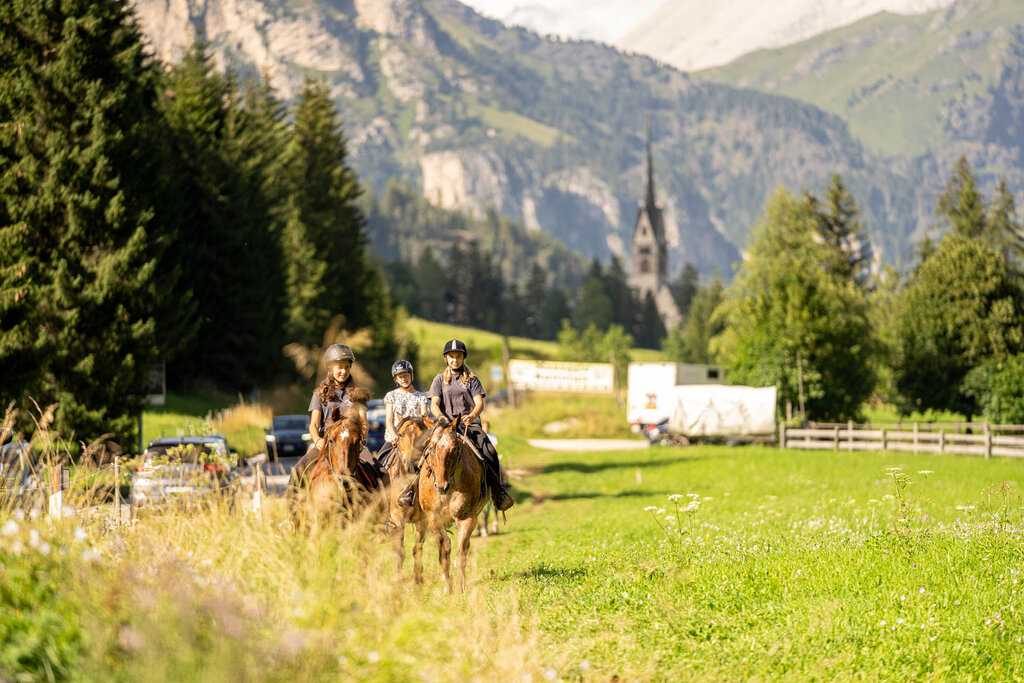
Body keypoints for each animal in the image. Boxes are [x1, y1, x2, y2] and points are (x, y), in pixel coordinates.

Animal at [382, 416, 433, 583]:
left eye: (424, 436)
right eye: (401, 434)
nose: (411, 463)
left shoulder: (423, 521)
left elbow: (417, 549)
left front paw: (417, 578)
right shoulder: (397, 518)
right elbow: (400, 551)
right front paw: (398, 578)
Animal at [418, 415, 488, 594]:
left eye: (455, 448)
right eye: (431, 448)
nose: (441, 486)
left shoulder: (467, 517)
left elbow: (461, 555)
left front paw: (458, 589)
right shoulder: (433, 519)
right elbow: (444, 553)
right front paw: (448, 590)